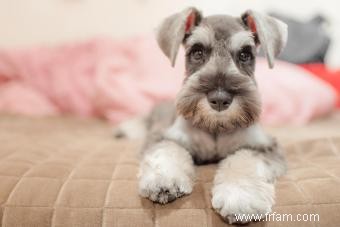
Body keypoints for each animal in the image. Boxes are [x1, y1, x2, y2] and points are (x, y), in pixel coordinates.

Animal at [115, 6, 288, 223]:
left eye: (245, 54)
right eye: (197, 52)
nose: (220, 99)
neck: (216, 126)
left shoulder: (263, 147)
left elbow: (245, 160)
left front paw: (241, 196)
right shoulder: (163, 136)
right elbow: (167, 149)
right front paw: (163, 179)